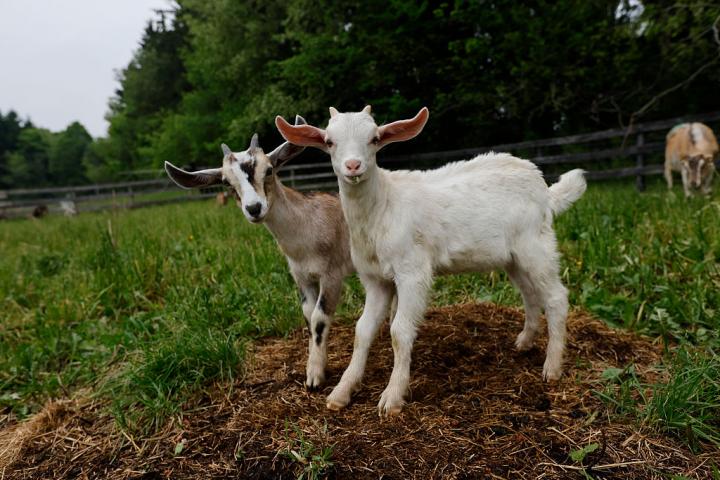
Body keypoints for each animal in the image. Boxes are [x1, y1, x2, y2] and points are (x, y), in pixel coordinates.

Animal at [164, 117, 355, 389]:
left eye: (269, 170)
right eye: (227, 183)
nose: (254, 208)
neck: (308, 227)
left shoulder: (332, 274)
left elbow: (319, 318)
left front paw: (314, 377)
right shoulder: (301, 277)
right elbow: (308, 315)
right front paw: (314, 365)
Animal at [276, 106, 586, 416]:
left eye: (374, 139)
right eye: (330, 142)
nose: (353, 166)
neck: (382, 206)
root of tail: (545, 190)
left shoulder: (412, 271)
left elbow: (399, 331)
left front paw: (392, 397)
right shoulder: (375, 279)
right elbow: (362, 330)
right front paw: (341, 392)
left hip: (535, 245)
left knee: (556, 297)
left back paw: (552, 368)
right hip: (514, 258)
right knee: (530, 294)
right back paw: (524, 342)